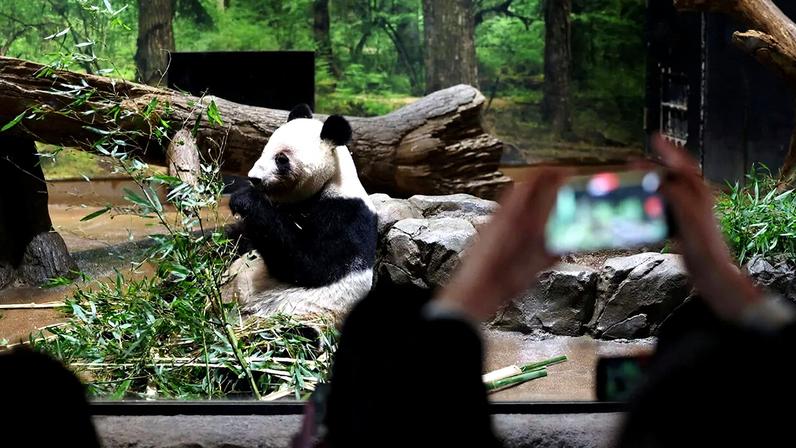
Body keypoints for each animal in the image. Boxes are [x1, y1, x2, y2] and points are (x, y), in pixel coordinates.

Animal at [227, 104, 378, 319]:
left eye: (281, 159)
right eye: (264, 150)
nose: (254, 178)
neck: (331, 180)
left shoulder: (347, 213)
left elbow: (311, 265)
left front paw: (245, 199)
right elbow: (239, 236)